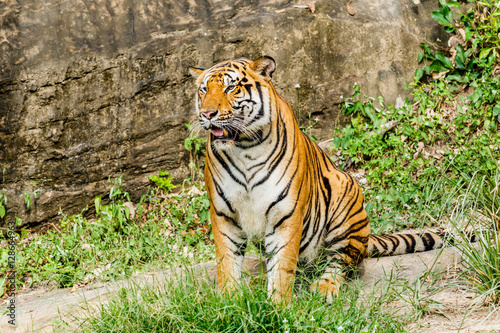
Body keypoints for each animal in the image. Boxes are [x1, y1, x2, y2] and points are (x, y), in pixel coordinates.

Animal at [188, 56, 446, 300]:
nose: (206, 114)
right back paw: (256, 283)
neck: (245, 148)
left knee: (342, 263)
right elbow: (227, 264)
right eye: (204, 89)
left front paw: (278, 306)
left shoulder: (286, 214)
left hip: (345, 196)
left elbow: (282, 268)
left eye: (231, 87)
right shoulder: (223, 213)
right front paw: (229, 301)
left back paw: (325, 288)